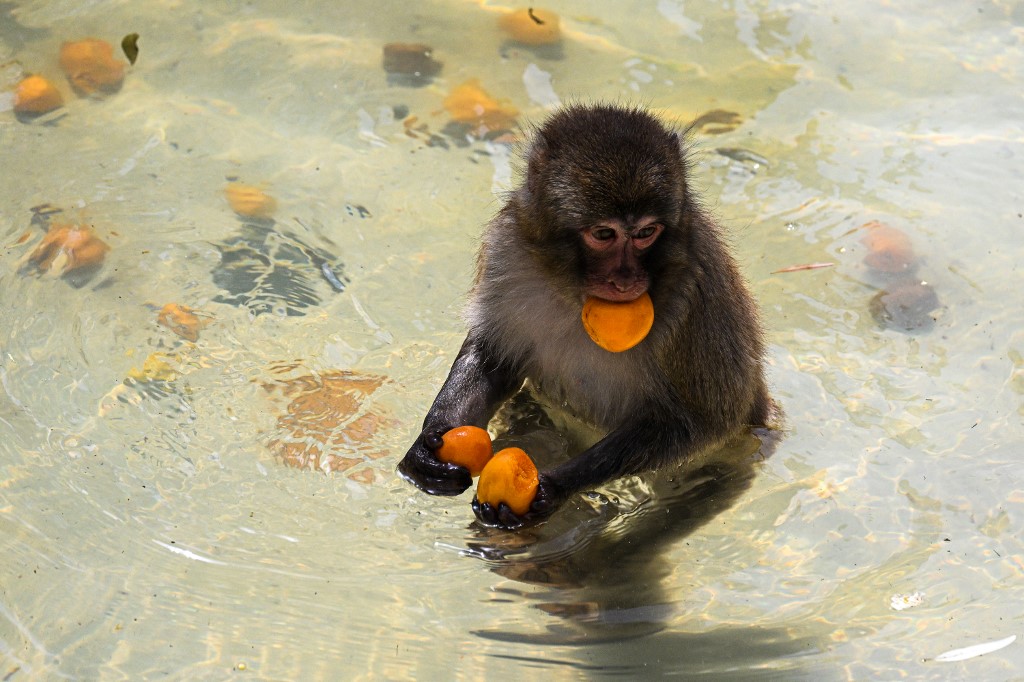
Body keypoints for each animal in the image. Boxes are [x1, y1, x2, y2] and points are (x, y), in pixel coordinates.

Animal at [395, 103, 770, 528]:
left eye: (646, 233)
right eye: (605, 235)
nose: (626, 280)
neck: (574, 291)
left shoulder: (695, 292)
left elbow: (701, 421)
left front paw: (557, 486)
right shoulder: (507, 248)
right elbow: (494, 358)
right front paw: (430, 441)